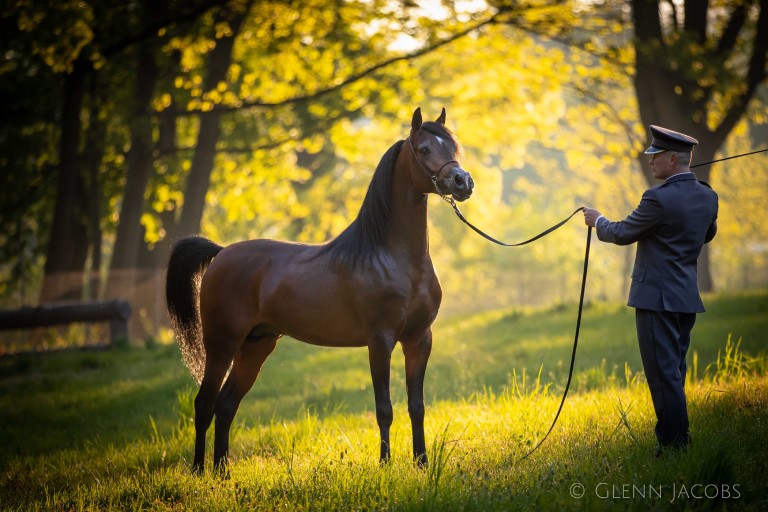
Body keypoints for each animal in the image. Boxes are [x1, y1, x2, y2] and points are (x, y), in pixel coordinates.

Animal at [165, 108, 472, 472]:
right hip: (222, 344)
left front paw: (421, 463)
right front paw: (385, 464)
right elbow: (384, 408)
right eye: (424, 149)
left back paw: (223, 473)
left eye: (453, 146)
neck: (394, 257)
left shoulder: (419, 339)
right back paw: (200, 470)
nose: (463, 182)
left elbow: (416, 406)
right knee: (204, 404)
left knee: (226, 406)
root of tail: (222, 252)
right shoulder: (380, 341)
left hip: (256, 346)